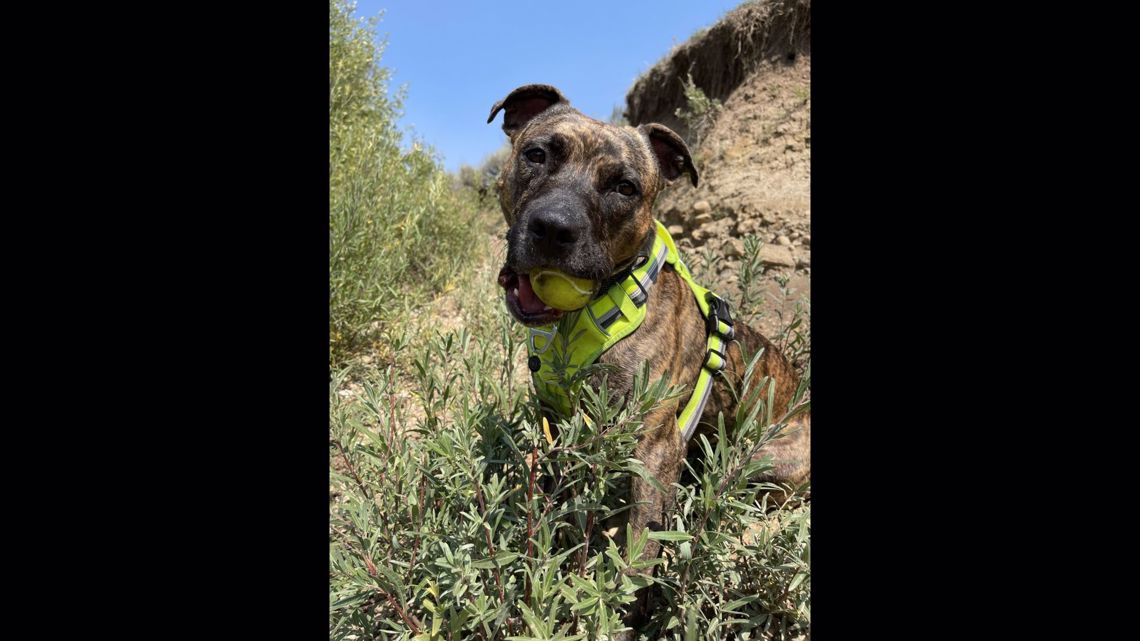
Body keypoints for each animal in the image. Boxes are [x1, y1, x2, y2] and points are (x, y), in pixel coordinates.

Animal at [485, 82, 807, 629]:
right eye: (537, 154)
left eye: (625, 187)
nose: (553, 228)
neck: (585, 317)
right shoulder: (557, 425)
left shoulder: (655, 448)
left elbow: (638, 552)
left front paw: (618, 613)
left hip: (760, 461)